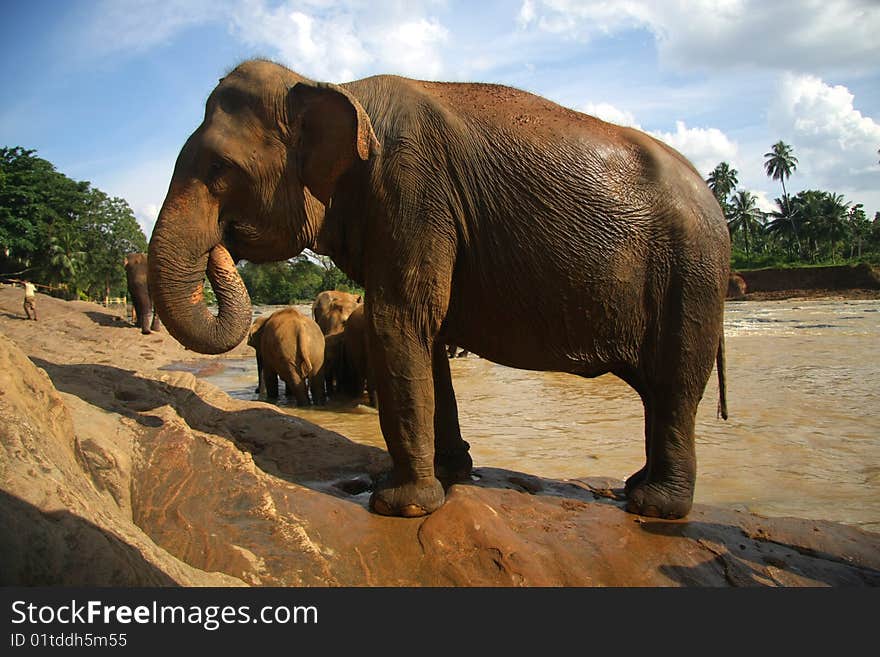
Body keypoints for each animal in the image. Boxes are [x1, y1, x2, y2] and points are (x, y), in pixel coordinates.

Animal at [150, 62, 728, 524]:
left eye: (220, 169)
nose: (221, 246)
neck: (334, 86)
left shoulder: (413, 193)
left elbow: (399, 322)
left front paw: (399, 505)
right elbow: (426, 337)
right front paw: (451, 474)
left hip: (692, 276)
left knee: (675, 383)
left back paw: (654, 505)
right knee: (660, 390)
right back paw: (636, 487)